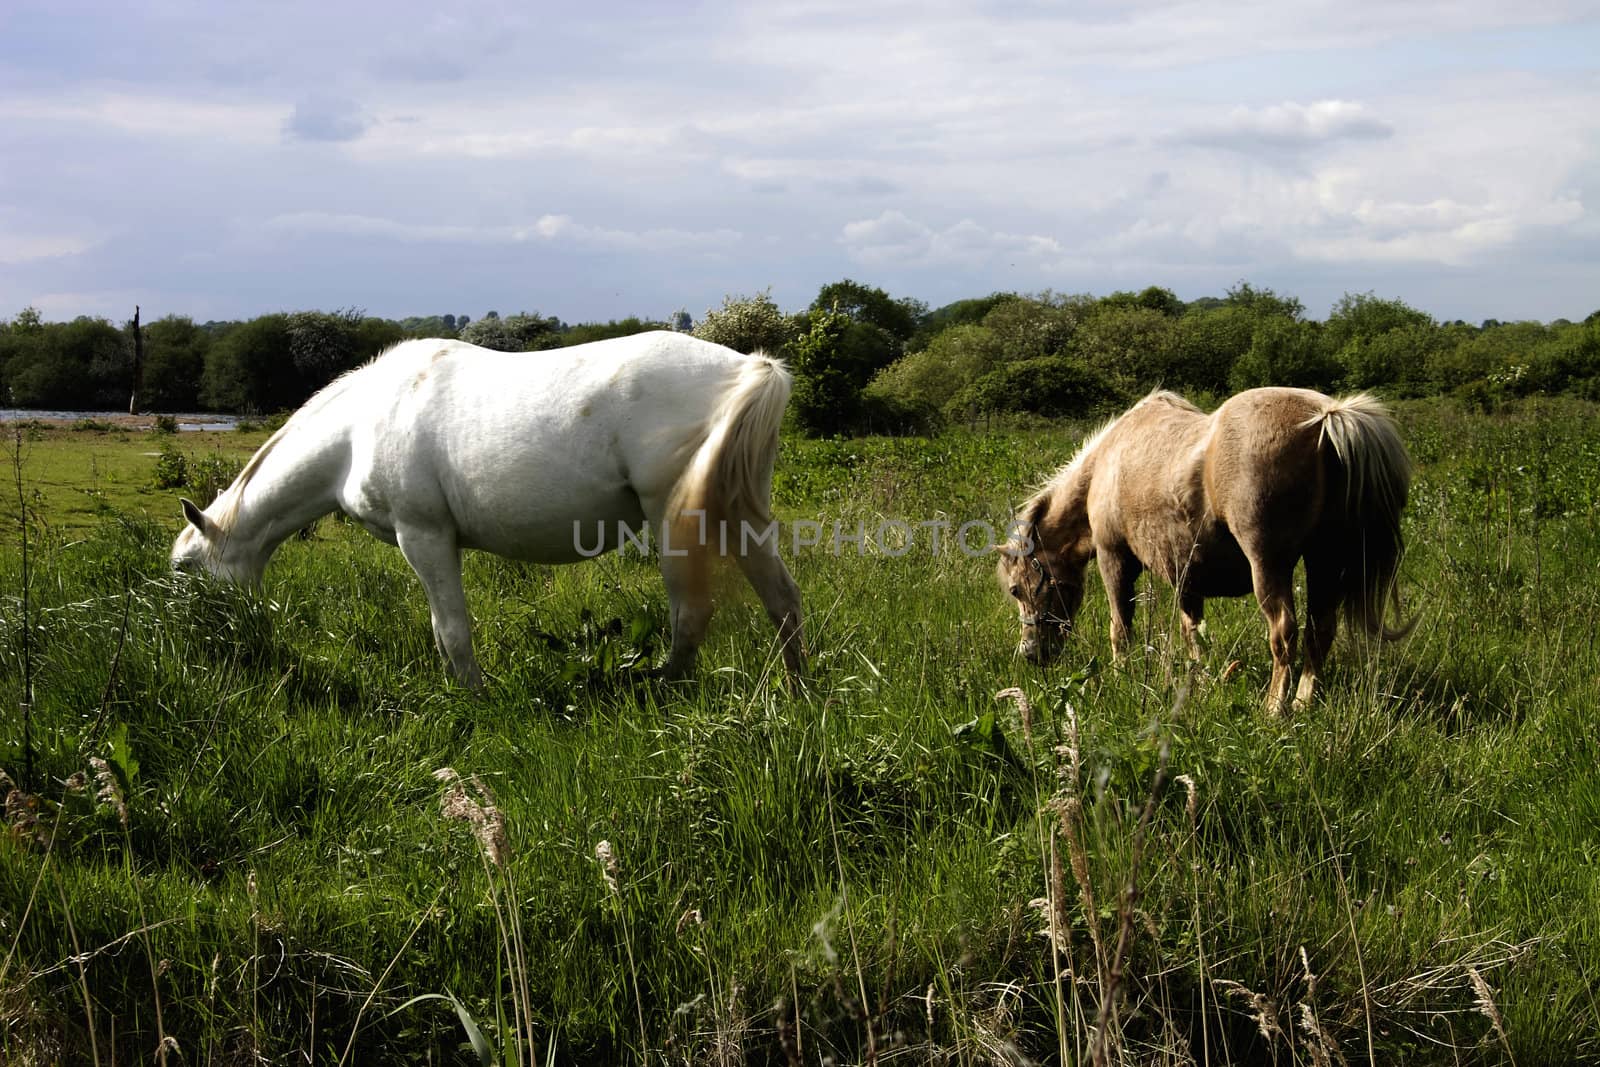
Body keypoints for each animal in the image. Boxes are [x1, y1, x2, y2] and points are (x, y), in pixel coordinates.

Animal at [172, 329, 812, 687]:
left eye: (183, 569)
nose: (202, 646)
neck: (357, 428)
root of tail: (747, 368)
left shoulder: (423, 537)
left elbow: (452, 632)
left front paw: (472, 699)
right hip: (740, 516)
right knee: (782, 599)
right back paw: (796, 692)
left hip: (676, 521)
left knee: (691, 615)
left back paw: (660, 689)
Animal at [992, 388, 1420, 713]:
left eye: (1016, 589)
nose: (1031, 654)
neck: (1107, 464)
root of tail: (1328, 418)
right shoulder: (1185, 572)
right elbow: (1191, 630)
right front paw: (1197, 678)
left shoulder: (1115, 559)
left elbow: (1121, 627)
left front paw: (1120, 675)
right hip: (1324, 563)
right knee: (1321, 631)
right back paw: (1301, 704)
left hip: (1270, 564)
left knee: (1284, 634)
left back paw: (1274, 709)